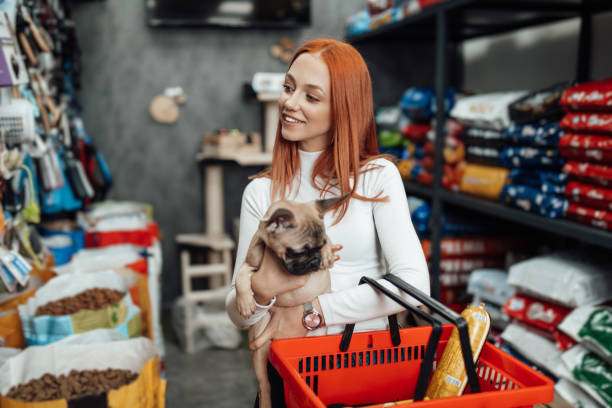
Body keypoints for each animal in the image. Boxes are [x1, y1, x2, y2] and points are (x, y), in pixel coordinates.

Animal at [237, 194, 346, 408]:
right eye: (298, 252)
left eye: (320, 245)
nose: (315, 262)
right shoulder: (251, 263)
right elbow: (241, 278)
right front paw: (245, 303)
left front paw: (328, 253)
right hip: (260, 345)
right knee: (264, 385)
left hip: (315, 338)